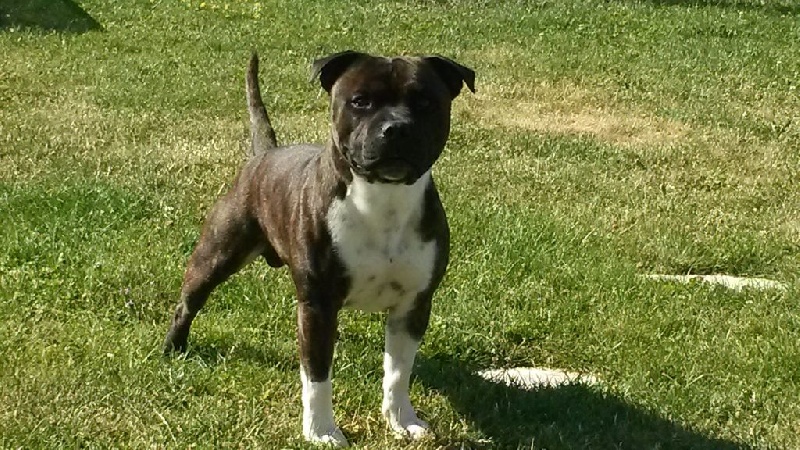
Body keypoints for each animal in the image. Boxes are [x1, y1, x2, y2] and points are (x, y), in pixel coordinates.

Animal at [163, 50, 474, 446]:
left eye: (424, 102)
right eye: (360, 101)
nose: (396, 128)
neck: (383, 199)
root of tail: (265, 154)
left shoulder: (413, 306)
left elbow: (398, 373)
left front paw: (401, 419)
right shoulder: (319, 306)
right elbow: (317, 376)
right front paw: (322, 430)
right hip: (216, 255)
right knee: (188, 302)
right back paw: (173, 347)